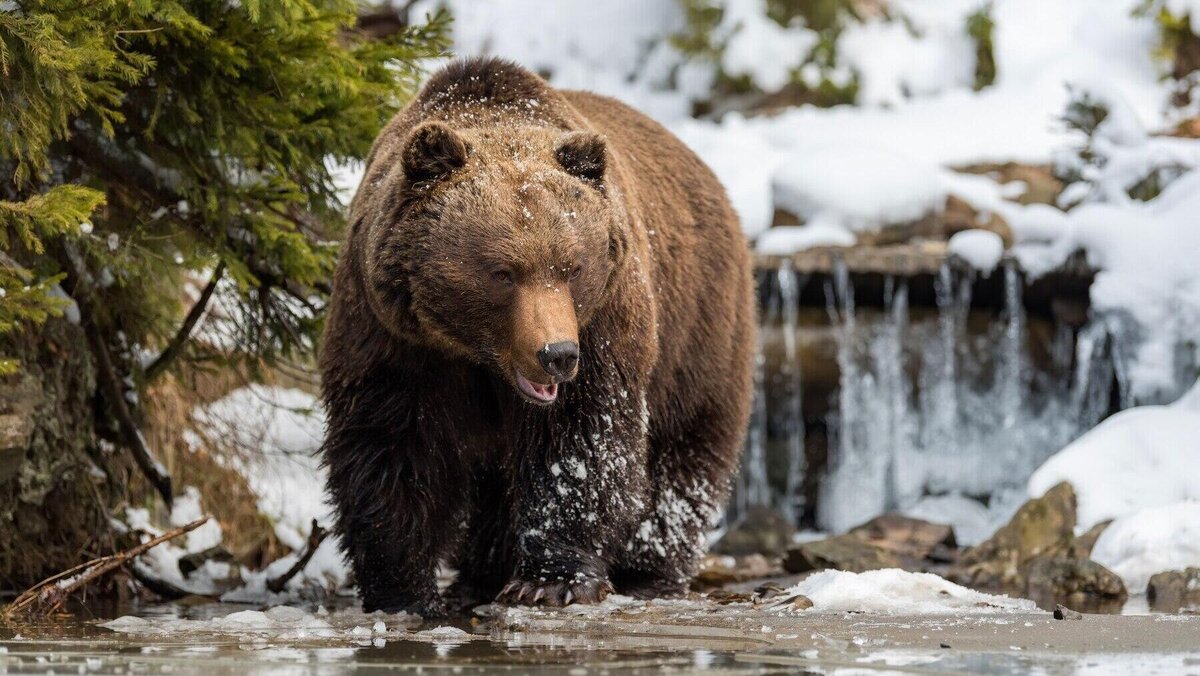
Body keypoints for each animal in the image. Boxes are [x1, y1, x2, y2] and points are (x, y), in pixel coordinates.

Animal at [319, 59, 748, 619]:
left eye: (573, 267)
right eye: (503, 272)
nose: (557, 355)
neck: (478, 355)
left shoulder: (604, 324)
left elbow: (580, 442)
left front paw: (551, 581)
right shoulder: (391, 334)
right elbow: (393, 444)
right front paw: (405, 591)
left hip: (698, 328)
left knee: (683, 451)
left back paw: (648, 572)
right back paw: (480, 575)